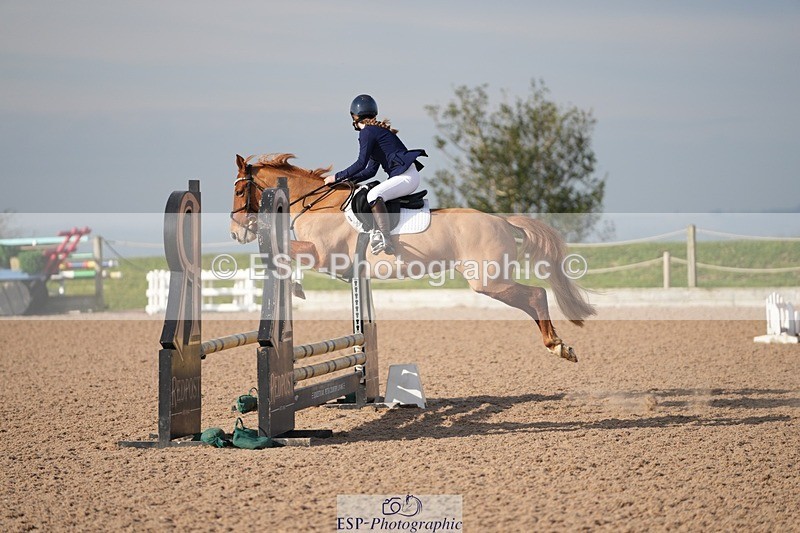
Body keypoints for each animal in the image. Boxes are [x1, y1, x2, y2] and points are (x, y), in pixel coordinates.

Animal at [230, 153, 595, 362]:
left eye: (238, 190)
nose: (236, 233)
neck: (316, 204)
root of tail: (502, 220)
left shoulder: (322, 255)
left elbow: (286, 251)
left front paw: (294, 286)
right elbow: (288, 252)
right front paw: (295, 286)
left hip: (487, 280)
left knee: (536, 295)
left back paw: (557, 346)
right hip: (491, 279)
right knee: (534, 296)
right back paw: (559, 345)